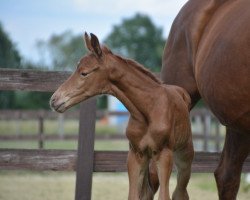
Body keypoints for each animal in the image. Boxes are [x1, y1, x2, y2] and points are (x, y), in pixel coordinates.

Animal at [50, 33, 193, 200]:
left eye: (84, 73)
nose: (54, 100)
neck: (148, 110)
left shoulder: (164, 155)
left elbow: (164, 196)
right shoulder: (135, 155)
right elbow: (133, 195)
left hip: (184, 156)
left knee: (180, 192)